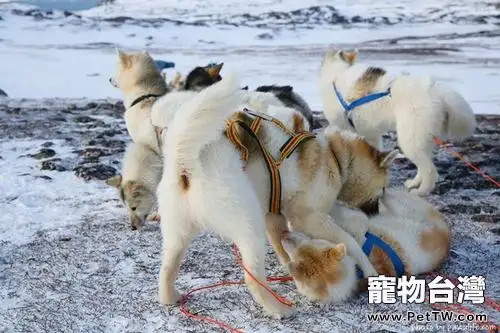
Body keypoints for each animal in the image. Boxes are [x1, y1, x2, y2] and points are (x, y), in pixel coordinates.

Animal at [153, 74, 398, 318]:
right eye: (383, 189)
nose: (376, 213)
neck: (334, 156)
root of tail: (186, 165)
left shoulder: (275, 216)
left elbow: (284, 244)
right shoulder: (307, 217)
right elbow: (350, 243)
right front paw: (370, 269)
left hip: (177, 235)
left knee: (167, 268)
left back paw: (169, 297)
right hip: (250, 226)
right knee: (253, 279)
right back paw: (278, 308)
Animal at [284, 188, 452, 302]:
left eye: (306, 244)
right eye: (295, 255)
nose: (284, 237)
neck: (356, 268)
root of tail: (447, 235)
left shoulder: (359, 228)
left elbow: (353, 220)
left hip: (408, 209)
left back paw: (384, 193)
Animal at [318, 48, 474, 196]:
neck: (337, 73)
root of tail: (435, 92)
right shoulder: (371, 135)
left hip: (409, 139)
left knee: (430, 170)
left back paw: (421, 191)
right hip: (423, 138)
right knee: (424, 165)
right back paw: (414, 183)